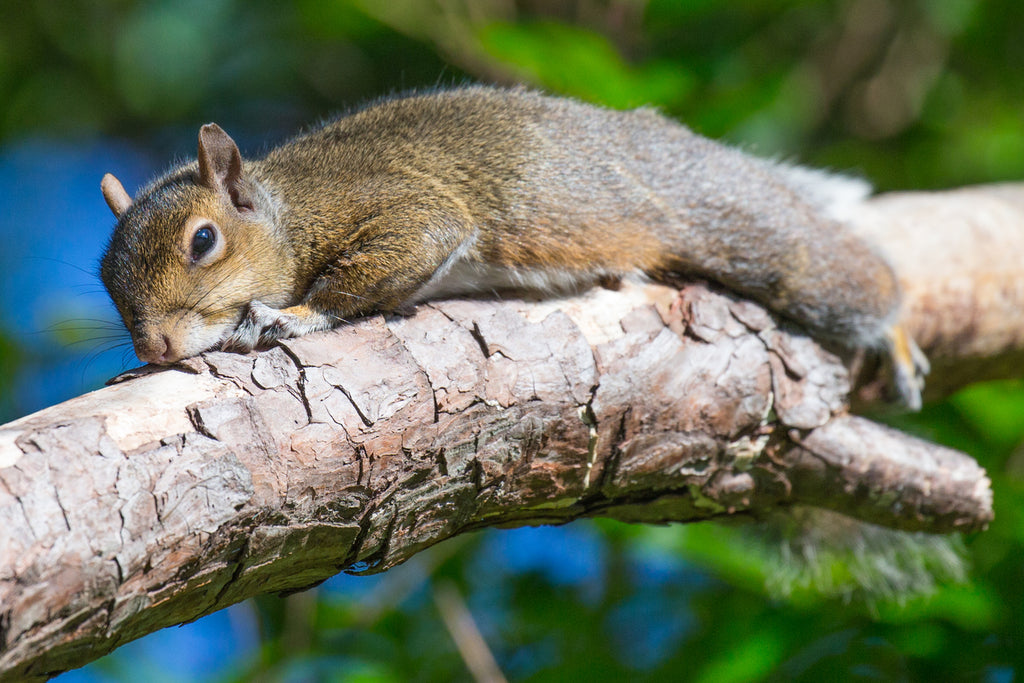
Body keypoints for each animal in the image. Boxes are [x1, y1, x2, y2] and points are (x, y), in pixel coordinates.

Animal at [101, 83, 929, 409]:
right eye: (108, 277)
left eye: (203, 240)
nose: (155, 346)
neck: (287, 209)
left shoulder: (405, 208)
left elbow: (384, 262)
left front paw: (289, 316)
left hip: (753, 234)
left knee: (851, 280)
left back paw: (894, 335)